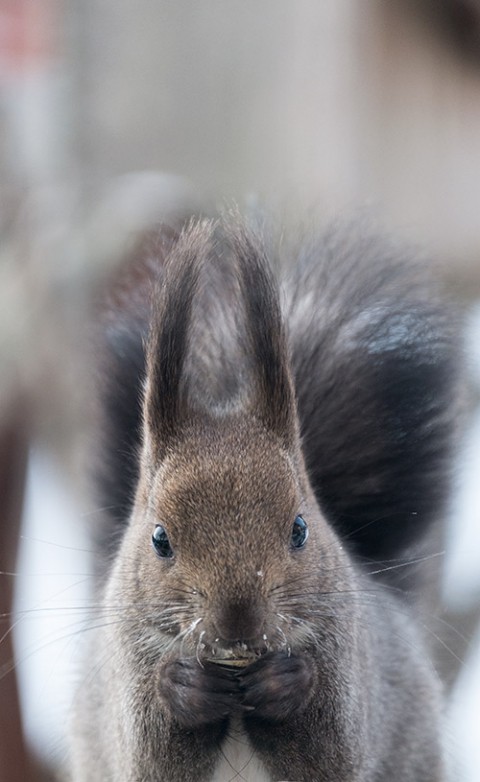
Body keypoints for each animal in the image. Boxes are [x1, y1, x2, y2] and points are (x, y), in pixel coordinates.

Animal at [69, 214, 460, 782]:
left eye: (300, 529)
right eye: (159, 538)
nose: (239, 622)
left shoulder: (347, 664)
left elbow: (332, 755)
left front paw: (286, 684)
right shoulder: (128, 667)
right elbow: (150, 760)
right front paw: (184, 689)